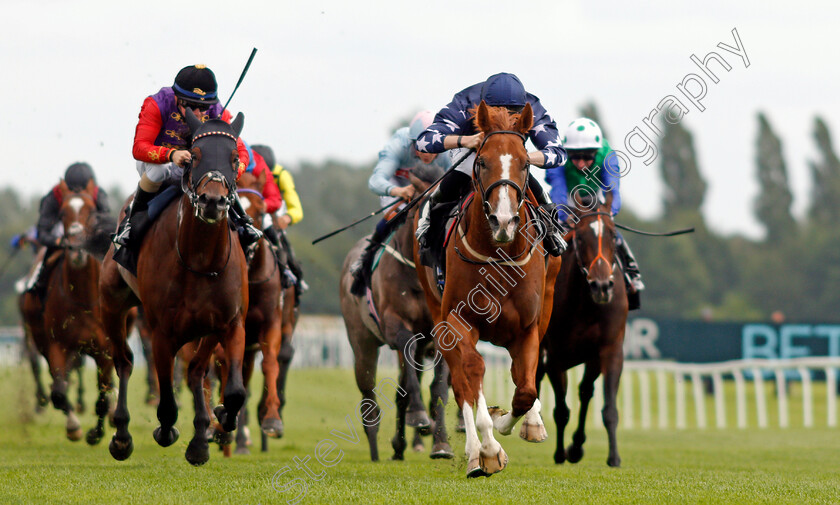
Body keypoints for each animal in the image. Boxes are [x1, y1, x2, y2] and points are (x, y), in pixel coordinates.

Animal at [19, 180, 114, 440]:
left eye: (92, 212)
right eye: (62, 214)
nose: (77, 247)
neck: (82, 297)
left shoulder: (105, 348)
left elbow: (103, 395)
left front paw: (98, 433)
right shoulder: (57, 345)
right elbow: (59, 392)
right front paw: (73, 427)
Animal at [99, 111, 249, 464]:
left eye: (235, 158)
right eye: (194, 156)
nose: (212, 201)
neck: (201, 260)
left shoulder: (231, 323)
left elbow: (235, 391)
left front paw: (221, 418)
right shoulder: (161, 332)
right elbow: (166, 400)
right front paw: (166, 431)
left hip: (206, 330)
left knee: (195, 370)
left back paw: (201, 436)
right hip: (112, 304)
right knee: (124, 361)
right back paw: (122, 435)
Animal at [338, 163, 452, 462]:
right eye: (429, 208)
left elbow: (438, 388)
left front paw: (441, 443)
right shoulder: (395, 326)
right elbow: (409, 380)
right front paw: (419, 416)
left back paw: (400, 446)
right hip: (362, 343)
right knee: (369, 398)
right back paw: (376, 449)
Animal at [412, 103, 560, 476]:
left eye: (525, 163)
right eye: (481, 161)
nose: (503, 221)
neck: (498, 253)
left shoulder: (526, 326)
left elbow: (525, 388)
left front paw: (518, 421)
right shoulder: (457, 321)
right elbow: (472, 373)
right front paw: (489, 448)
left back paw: (530, 422)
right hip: (438, 313)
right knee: (462, 381)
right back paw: (475, 452)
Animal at [540, 197, 628, 464]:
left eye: (612, 235)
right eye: (580, 238)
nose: (602, 286)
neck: (586, 305)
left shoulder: (610, 350)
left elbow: (608, 408)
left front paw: (613, 457)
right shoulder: (554, 356)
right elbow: (561, 410)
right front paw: (559, 453)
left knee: (586, 391)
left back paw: (577, 445)